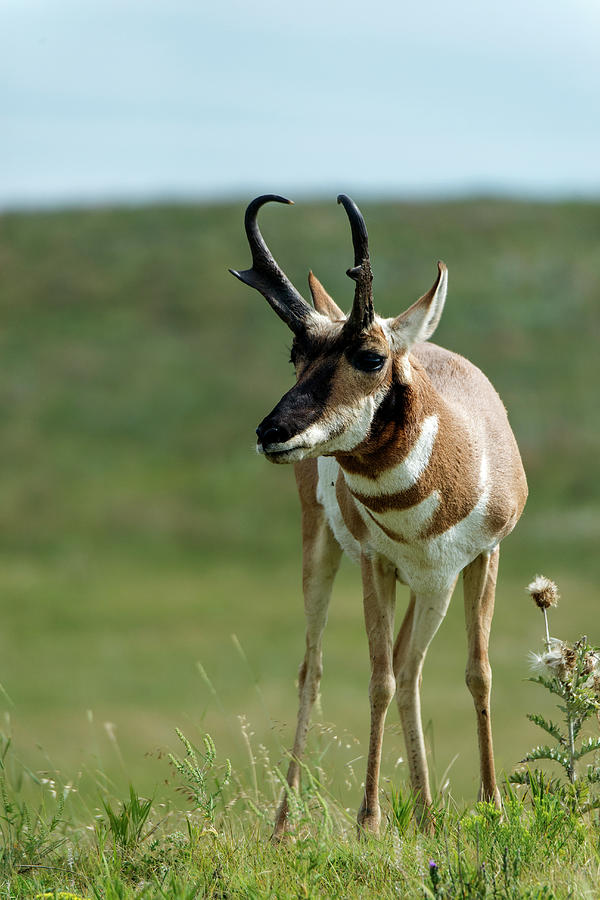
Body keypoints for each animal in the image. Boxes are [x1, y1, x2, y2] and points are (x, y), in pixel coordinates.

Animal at [230, 193, 524, 832]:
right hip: (324, 549)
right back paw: (284, 826)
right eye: (296, 353)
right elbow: (377, 680)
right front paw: (369, 819)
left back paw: (427, 814)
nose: (270, 432)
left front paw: (492, 806)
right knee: (316, 670)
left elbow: (479, 673)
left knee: (413, 666)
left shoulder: (483, 557)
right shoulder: (376, 564)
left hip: (434, 586)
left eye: (369, 356)